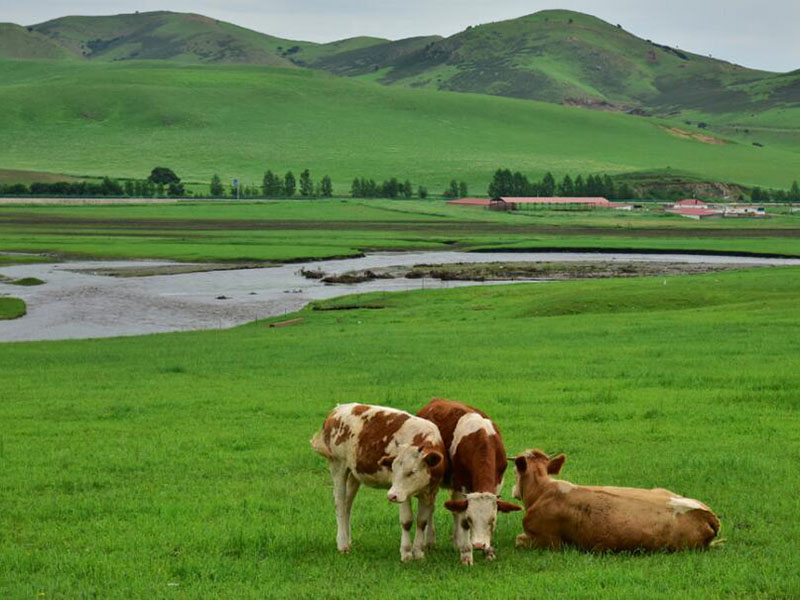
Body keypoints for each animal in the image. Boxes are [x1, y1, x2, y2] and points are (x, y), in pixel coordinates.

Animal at [310, 404, 446, 564]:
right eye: (393, 470)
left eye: (412, 471)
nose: (391, 496)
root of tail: (337, 410)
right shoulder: (402, 494)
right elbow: (407, 521)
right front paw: (406, 553)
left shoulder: (429, 491)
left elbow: (422, 522)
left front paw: (418, 553)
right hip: (338, 466)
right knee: (340, 503)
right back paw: (342, 544)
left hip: (354, 474)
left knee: (347, 504)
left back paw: (347, 540)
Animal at [416, 398, 520, 564]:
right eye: (470, 520)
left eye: (492, 520)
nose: (478, 545)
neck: (481, 439)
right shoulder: (460, 483)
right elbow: (461, 517)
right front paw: (466, 554)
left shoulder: (498, 482)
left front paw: (488, 552)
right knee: (432, 508)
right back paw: (431, 542)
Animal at [512, 450, 724, 552]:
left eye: (514, 472)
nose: (513, 491)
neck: (543, 491)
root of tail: (709, 515)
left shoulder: (547, 541)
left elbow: (518, 540)